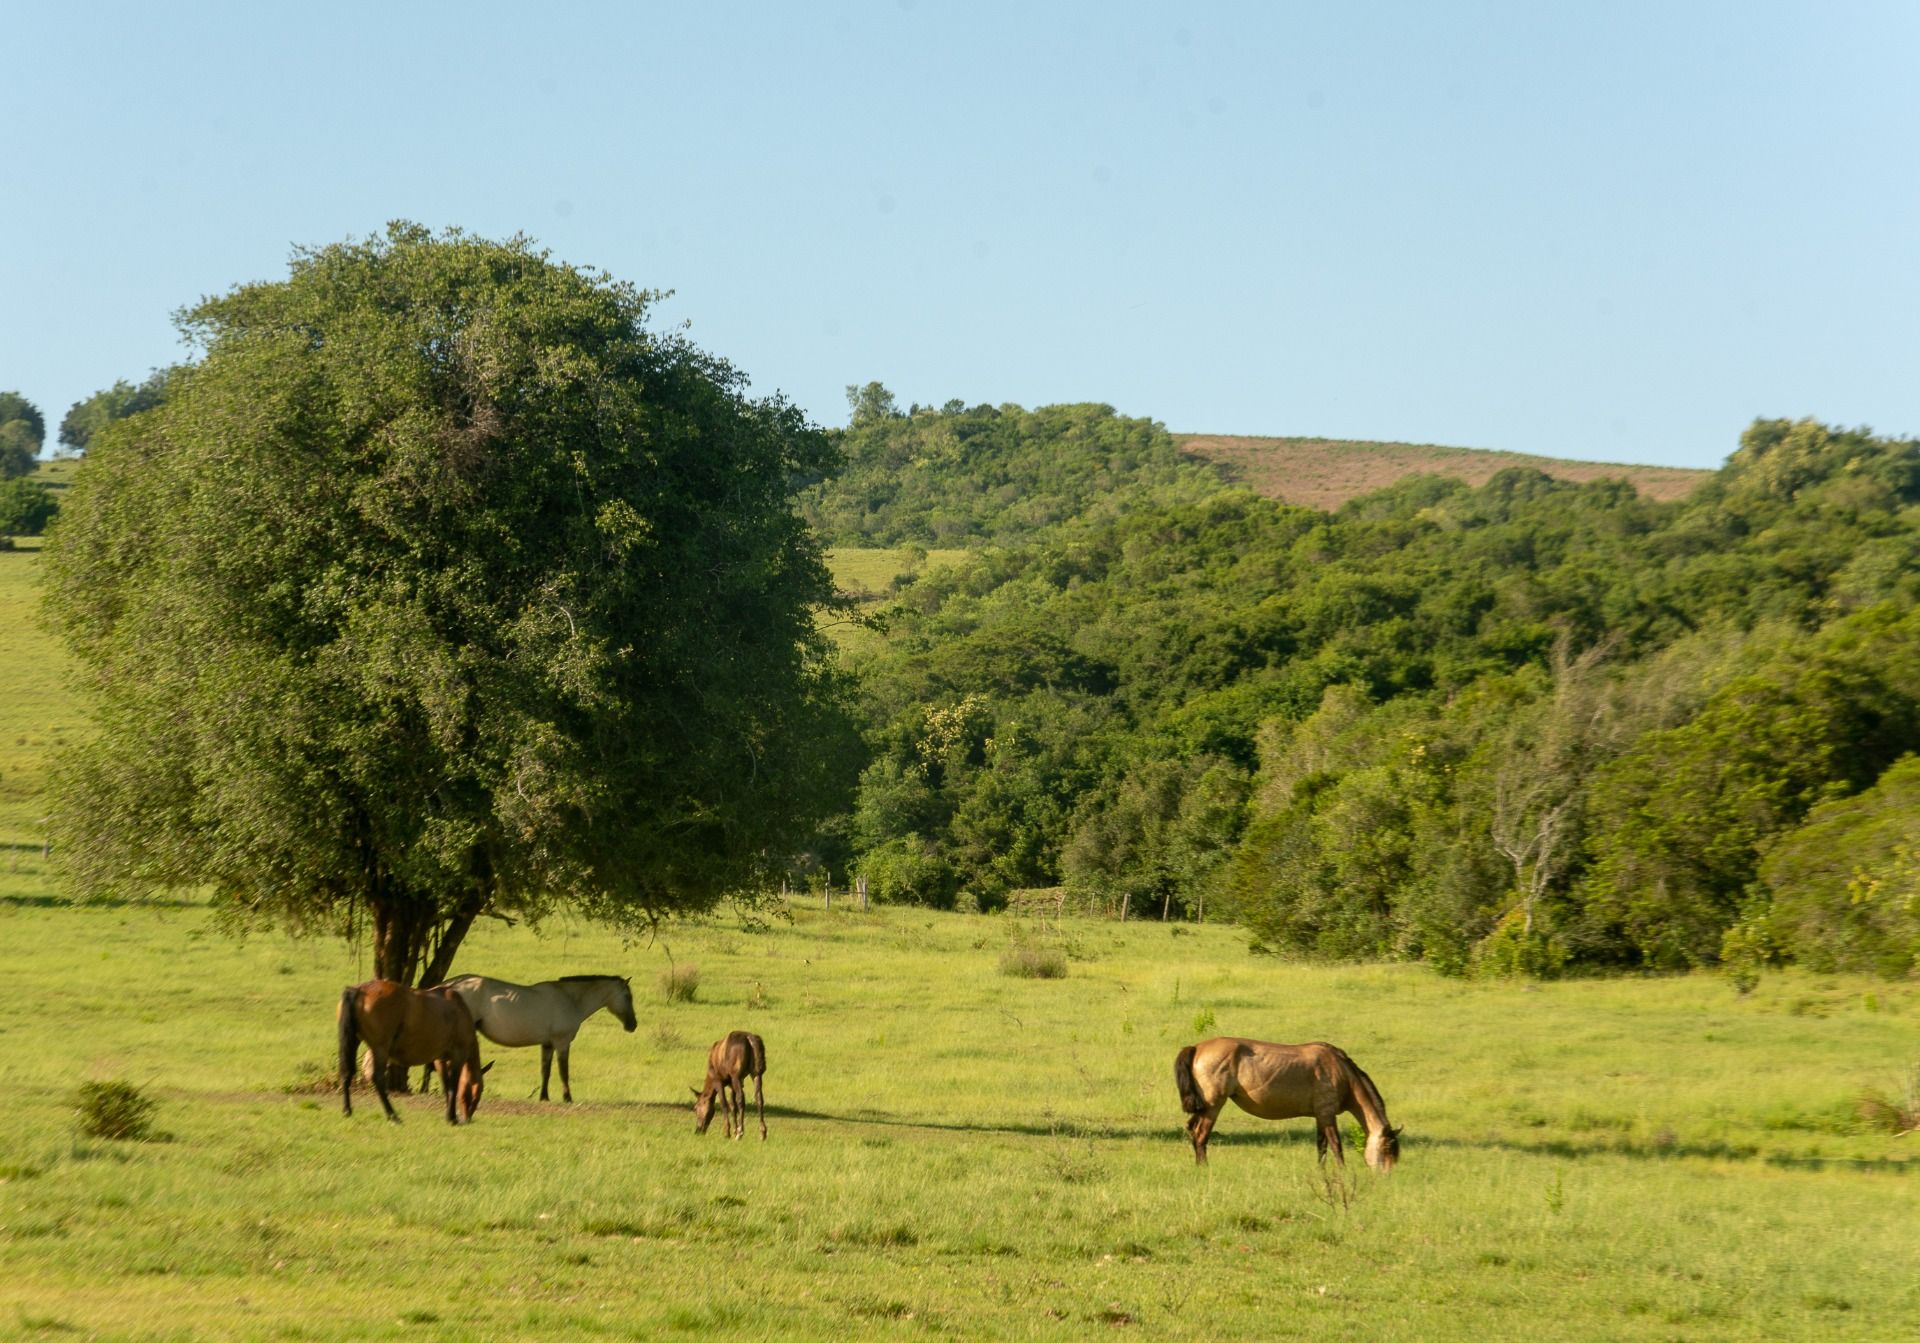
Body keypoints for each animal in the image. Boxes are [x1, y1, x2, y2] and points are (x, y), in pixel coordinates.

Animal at [337, 979, 490, 1125]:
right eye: (478, 1091)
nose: (468, 1118)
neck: (459, 1010)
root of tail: (359, 990)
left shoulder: (439, 1059)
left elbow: (446, 1085)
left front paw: (449, 1115)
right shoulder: (458, 1054)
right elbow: (453, 1085)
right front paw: (451, 1117)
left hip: (354, 1041)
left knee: (346, 1072)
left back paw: (347, 1110)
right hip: (380, 1048)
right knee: (377, 1078)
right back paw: (392, 1115)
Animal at [435, 973, 637, 1102]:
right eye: (627, 996)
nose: (632, 1025)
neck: (570, 999)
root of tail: (450, 985)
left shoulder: (547, 1044)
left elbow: (545, 1071)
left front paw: (544, 1097)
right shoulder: (562, 1043)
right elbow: (564, 1071)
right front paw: (567, 1097)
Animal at [1173, 1037, 1401, 1171]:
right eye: (1388, 1148)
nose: (1386, 1176)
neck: (1340, 1071)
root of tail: (1197, 1048)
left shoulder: (1321, 1116)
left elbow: (1321, 1145)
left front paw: (1321, 1171)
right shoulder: (1327, 1114)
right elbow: (1336, 1144)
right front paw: (1342, 1171)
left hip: (1203, 1108)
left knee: (1191, 1130)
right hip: (1213, 1106)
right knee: (1201, 1135)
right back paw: (1204, 1167)